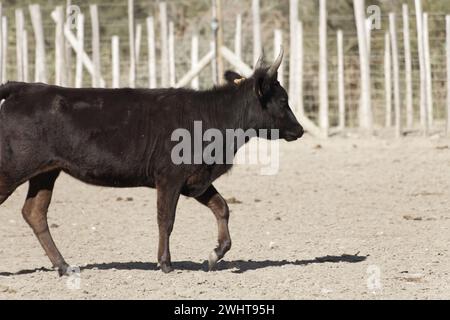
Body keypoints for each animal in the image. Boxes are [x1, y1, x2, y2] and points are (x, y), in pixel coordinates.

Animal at [0, 53, 304, 274]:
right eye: (283, 100)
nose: (300, 130)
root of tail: (25, 88)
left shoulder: (196, 180)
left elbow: (222, 208)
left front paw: (215, 254)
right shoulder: (169, 177)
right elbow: (166, 219)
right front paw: (165, 263)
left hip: (46, 172)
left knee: (35, 212)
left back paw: (63, 266)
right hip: (13, 168)